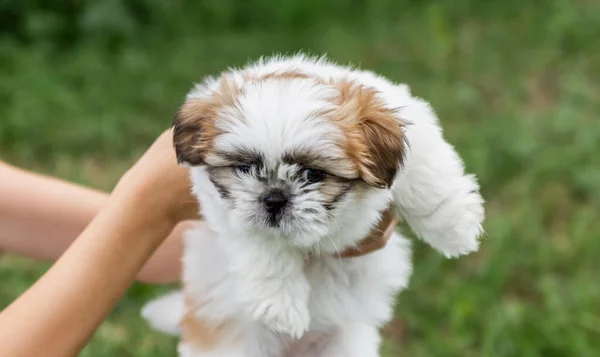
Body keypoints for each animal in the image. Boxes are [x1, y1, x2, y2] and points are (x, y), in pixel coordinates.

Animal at [141, 54, 482, 354]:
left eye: (312, 174)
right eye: (245, 168)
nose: (274, 198)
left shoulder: (414, 127)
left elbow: (426, 175)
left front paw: (455, 228)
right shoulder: (221, 207)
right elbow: (259, 240)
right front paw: (280, 307)